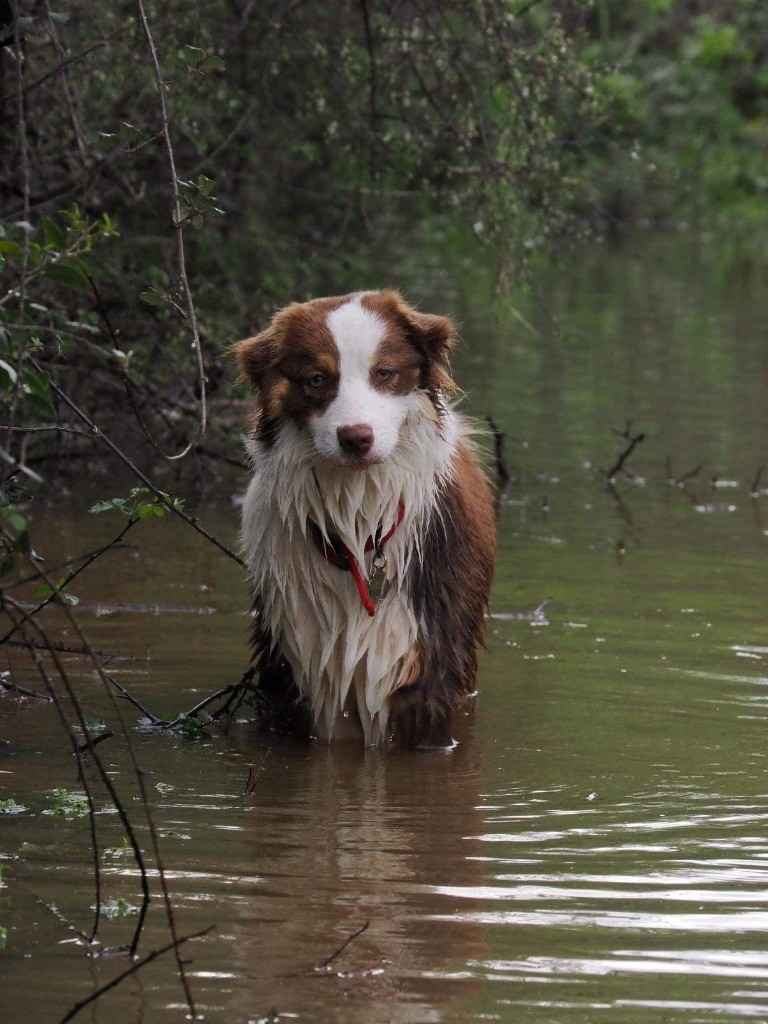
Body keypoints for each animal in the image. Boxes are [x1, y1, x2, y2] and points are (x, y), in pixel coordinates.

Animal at [234, 292, 495, 749]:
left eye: (384, 373)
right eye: (316, 379)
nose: (356, 438)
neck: (358, 517)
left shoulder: (427, 663)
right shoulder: (297, 663)